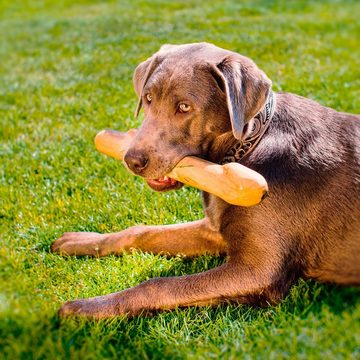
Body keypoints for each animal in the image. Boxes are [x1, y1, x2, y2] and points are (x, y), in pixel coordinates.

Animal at [52, 43, 358, 318]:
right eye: (148, 98)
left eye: (184, 107)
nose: (132, 160)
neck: (250, 145)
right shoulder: (215, 228)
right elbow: (141, 231)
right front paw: (79, 241)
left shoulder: (258, 270)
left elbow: (157, 285)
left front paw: (85, 307)